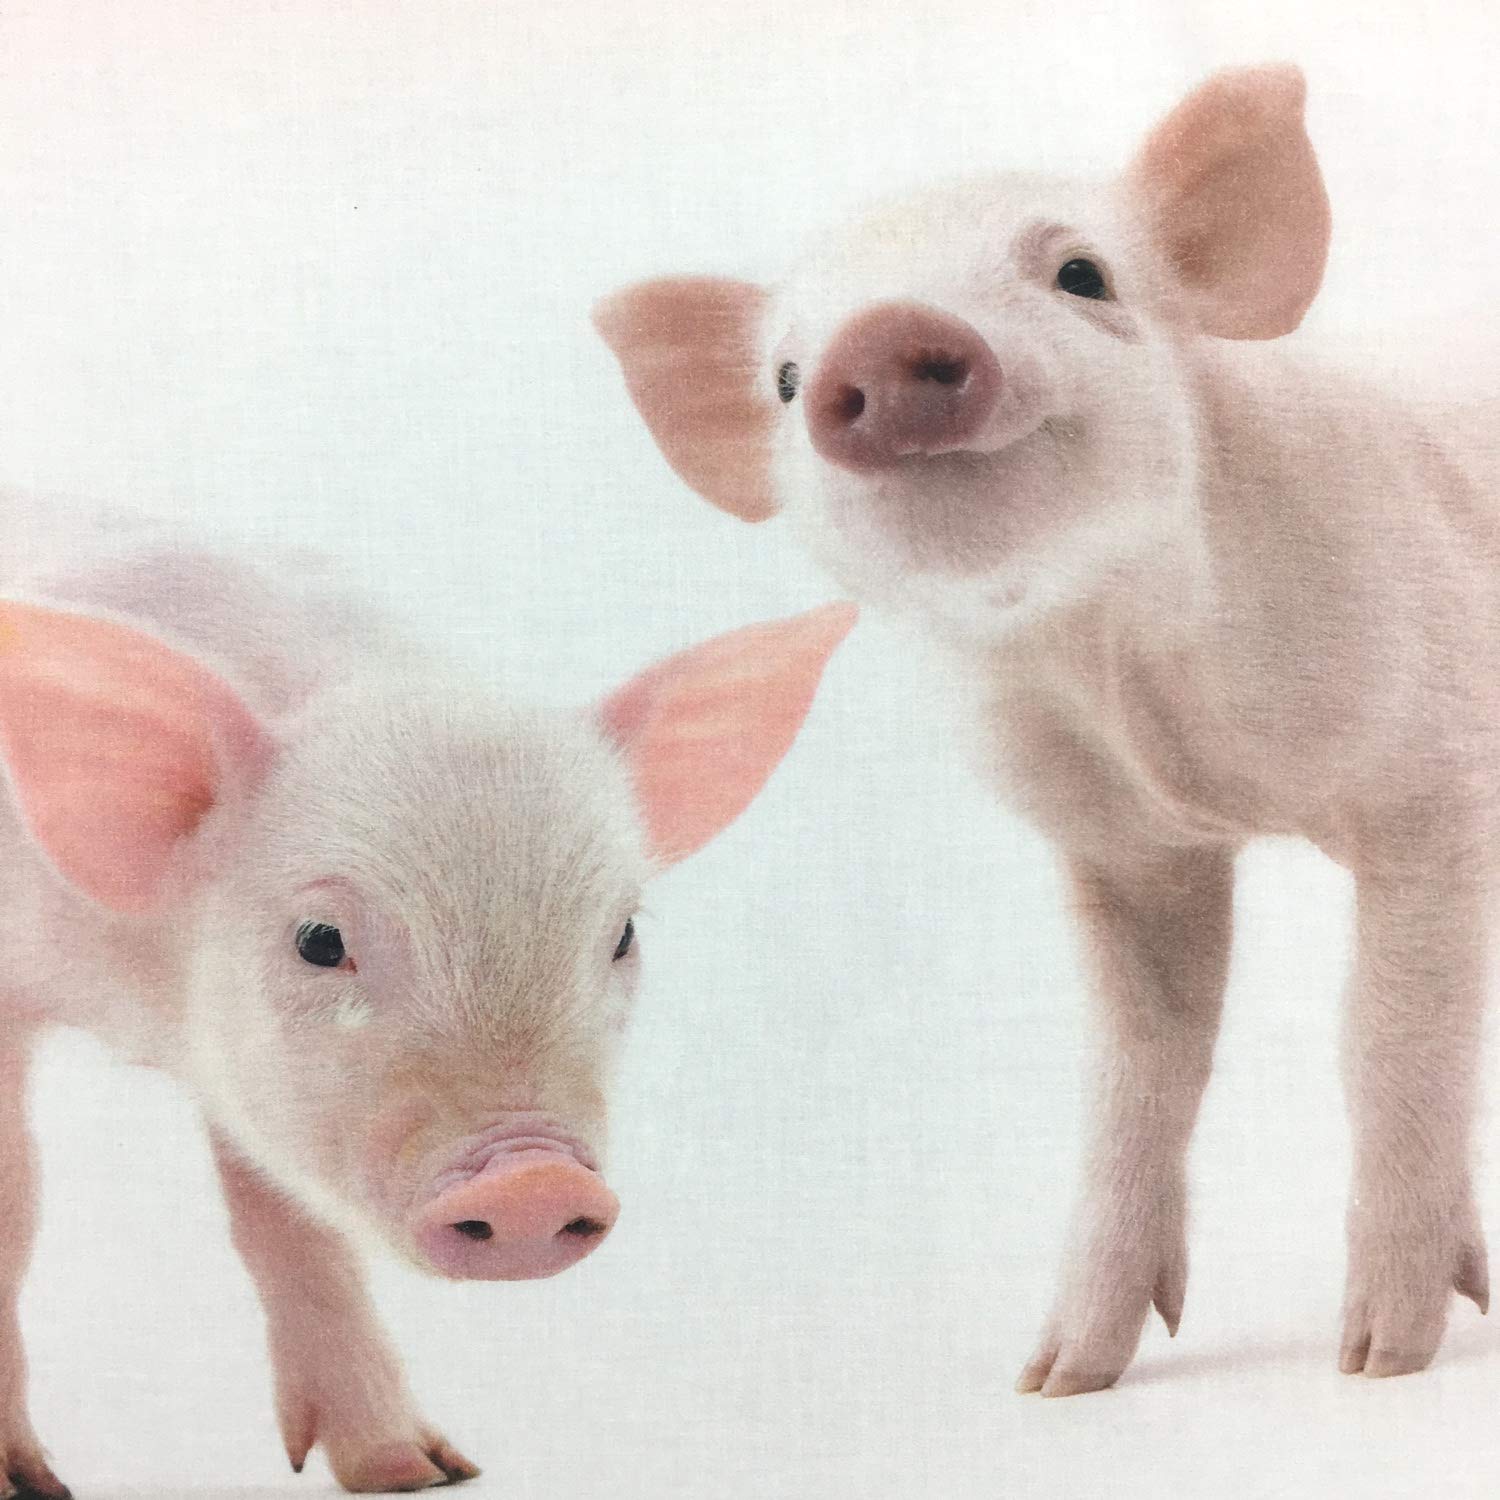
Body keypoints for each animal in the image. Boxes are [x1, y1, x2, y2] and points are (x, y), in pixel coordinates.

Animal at [0, 506, 854, 1495]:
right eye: (320, 940)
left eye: (623, 933)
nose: (533, 1176)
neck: (135, 1000)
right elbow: (15, 1205)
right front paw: (27, 1483)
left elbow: (290, 1224)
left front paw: (419, 1471)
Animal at [594, 63, 1500, 1396]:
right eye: (784, 376)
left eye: (1083, 274)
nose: (881, 339)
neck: (1122, 666)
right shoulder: (1125, 854)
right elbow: (1135, 1075)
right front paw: (1061, 1378)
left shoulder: (1425, 791)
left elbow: (1387, 1044)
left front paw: (1380, 1360)